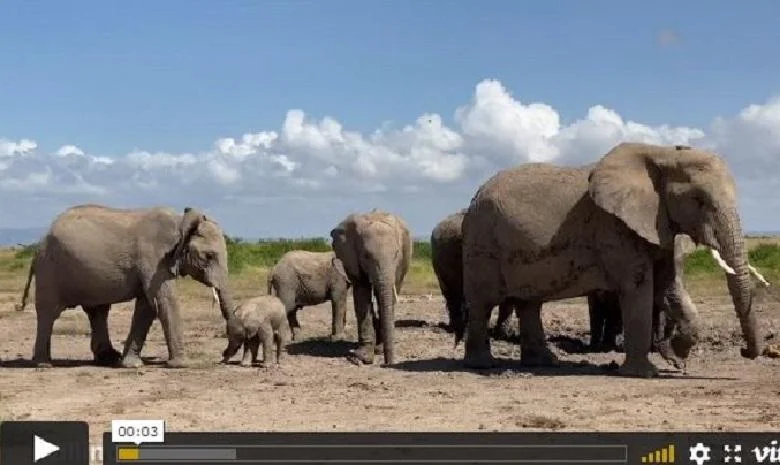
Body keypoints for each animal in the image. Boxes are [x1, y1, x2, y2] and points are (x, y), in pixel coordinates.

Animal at [15, 204, 233, 368]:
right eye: (209, 256)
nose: (223, 357)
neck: (181, 221)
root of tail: (39, 244)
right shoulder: (154, 257)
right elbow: (163, 301)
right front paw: (182, 365)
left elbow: (147, 307)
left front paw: (130, 364)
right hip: (49, 269)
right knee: (48, 312)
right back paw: (44, 364)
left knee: (98, 311)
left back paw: (108, 358)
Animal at [330, 209, 412, 366]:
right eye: (366, 256)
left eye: (396, 254)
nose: (388, 363)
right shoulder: (352, 259)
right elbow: (362, 295)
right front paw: (363, 357)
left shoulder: (400, 263)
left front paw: (373, 352)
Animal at [459, 142, 766, 378]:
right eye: (699, 200)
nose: (745, 352)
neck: (663, 153)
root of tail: (474, 195)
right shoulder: (613, 227)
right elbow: (639, 288)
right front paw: (645, 374)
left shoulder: (658, 225)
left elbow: (669, 289)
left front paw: (675, 354)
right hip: (481, 241)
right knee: (483, 302)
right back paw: (482, 365)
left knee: (529, 302)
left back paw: (544, 363)